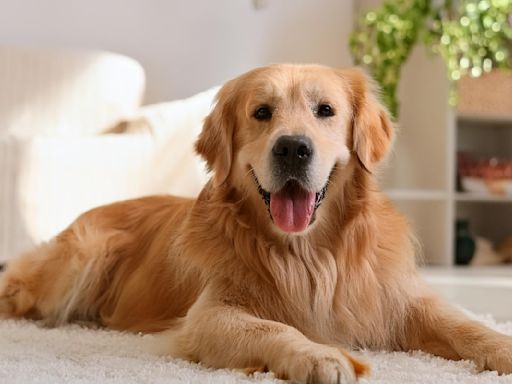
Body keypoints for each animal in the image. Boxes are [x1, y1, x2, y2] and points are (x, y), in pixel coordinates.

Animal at [1, 64, 512, 382]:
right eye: (261, 113)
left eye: (325, 110)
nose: (292, 148)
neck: (309, 254)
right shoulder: (209, 315)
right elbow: (274, 329)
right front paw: (319, 355)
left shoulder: (400, 300)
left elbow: (468, 326)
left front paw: (503, 347)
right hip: (79, 261)